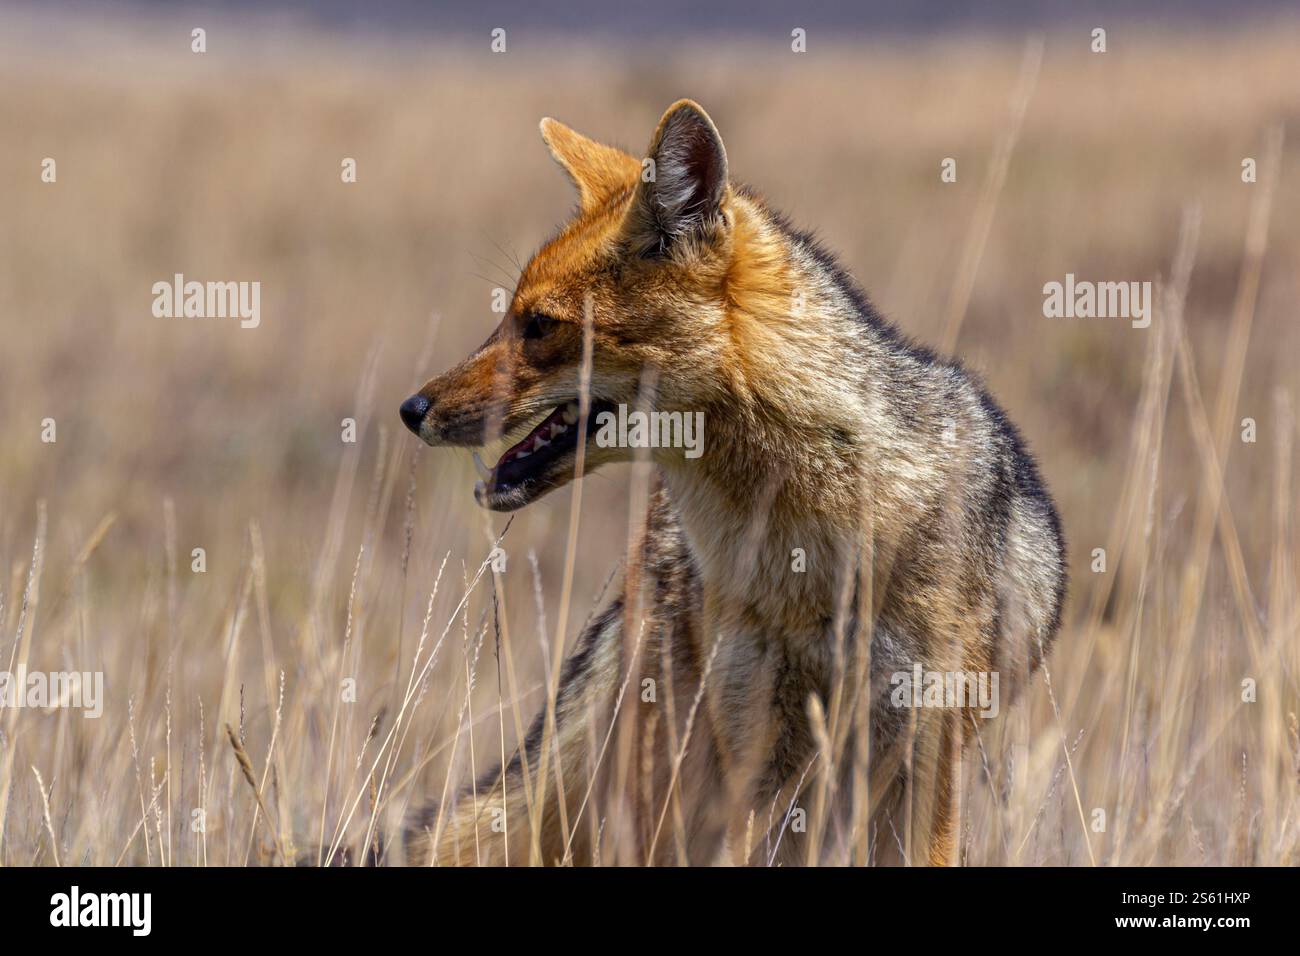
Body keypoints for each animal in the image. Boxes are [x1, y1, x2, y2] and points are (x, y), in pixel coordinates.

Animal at [398, 100, 1066, 866]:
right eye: (509, 317)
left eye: (538, 325)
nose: (411, 409)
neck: (808, 547)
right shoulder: (751, 751)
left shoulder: (925, 757)